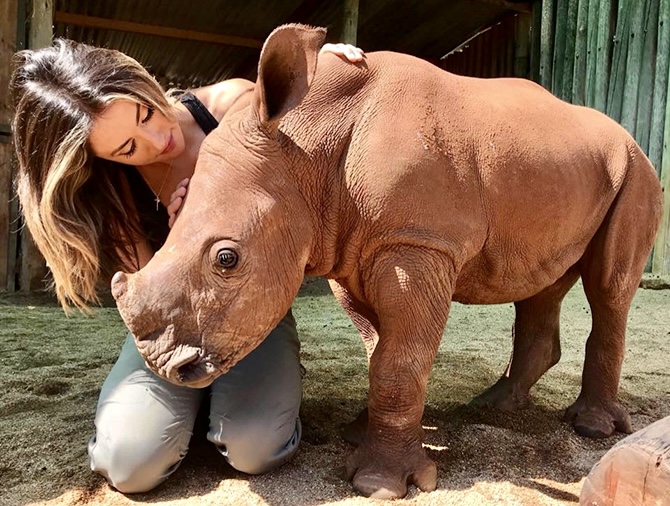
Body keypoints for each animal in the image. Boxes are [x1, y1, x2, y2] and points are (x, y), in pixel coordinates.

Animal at [112, 24, 663, 498]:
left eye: (227, 258)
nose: (164, 365)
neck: (304, 152)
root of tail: (626, 135)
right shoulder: (348, 249)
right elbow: (380, 349)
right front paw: (360, 433)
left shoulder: (416, 244)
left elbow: (401, 359)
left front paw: (378, 484)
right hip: (556, 166)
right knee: (540, 282)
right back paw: (492, 407)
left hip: (636, 168)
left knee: (610, 285)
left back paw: (590, 428)